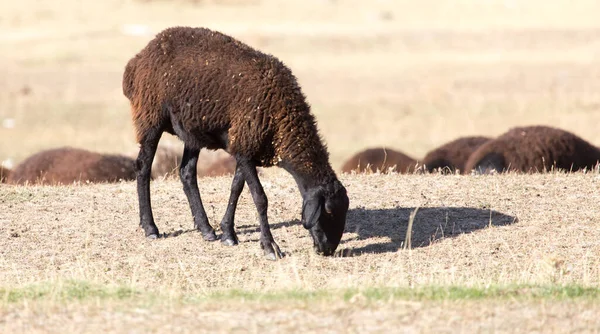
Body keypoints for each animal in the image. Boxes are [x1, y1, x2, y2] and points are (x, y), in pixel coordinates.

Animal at [124, 27, 350, 260]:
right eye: (328, 211)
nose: (328, 249)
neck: (282, 119)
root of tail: (138, 59)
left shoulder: (246, 147)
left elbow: (236, 189)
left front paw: (228, 233)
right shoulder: (245, 147)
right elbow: (260, 197)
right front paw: (269, 246)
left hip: (191, 130)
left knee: (186, 173)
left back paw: (206, 229)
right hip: (151, 117)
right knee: (143, 167)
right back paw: (150, 227)